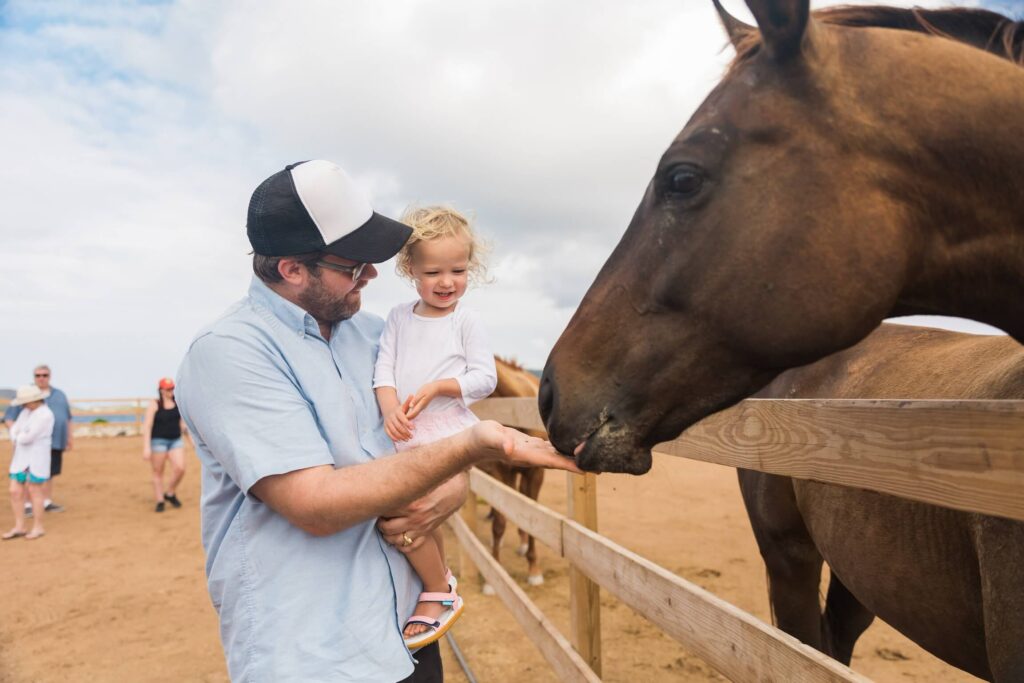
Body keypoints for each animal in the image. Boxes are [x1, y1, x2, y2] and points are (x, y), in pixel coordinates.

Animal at [476, 357, 546, 587]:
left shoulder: (536, 473)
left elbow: (532, 518)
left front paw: (534, 570)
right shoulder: (501, 471)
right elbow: (499, 523)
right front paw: (493, 575)